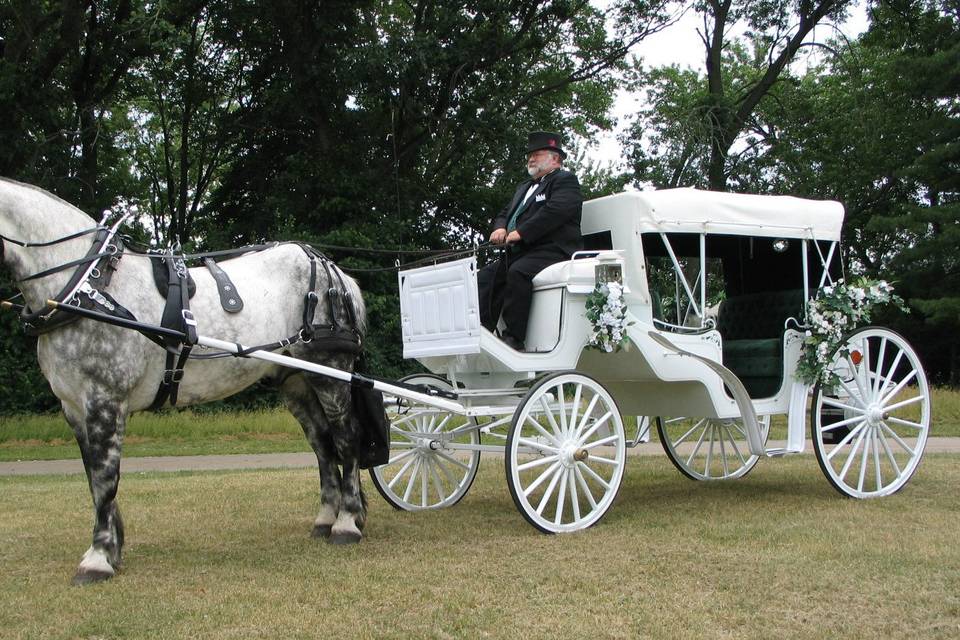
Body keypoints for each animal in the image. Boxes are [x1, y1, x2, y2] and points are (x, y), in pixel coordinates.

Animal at [0, 178, 372, 584]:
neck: (88, 288)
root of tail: (333, 270)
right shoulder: (74, 407)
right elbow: (93, 478)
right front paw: (112, 549)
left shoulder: (104, 398)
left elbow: (105, 477)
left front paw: (98, 557)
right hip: (296, 380)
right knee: (322, 443)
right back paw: (326, 518)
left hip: (329, 368)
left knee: (347, 437)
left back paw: (347, 522)